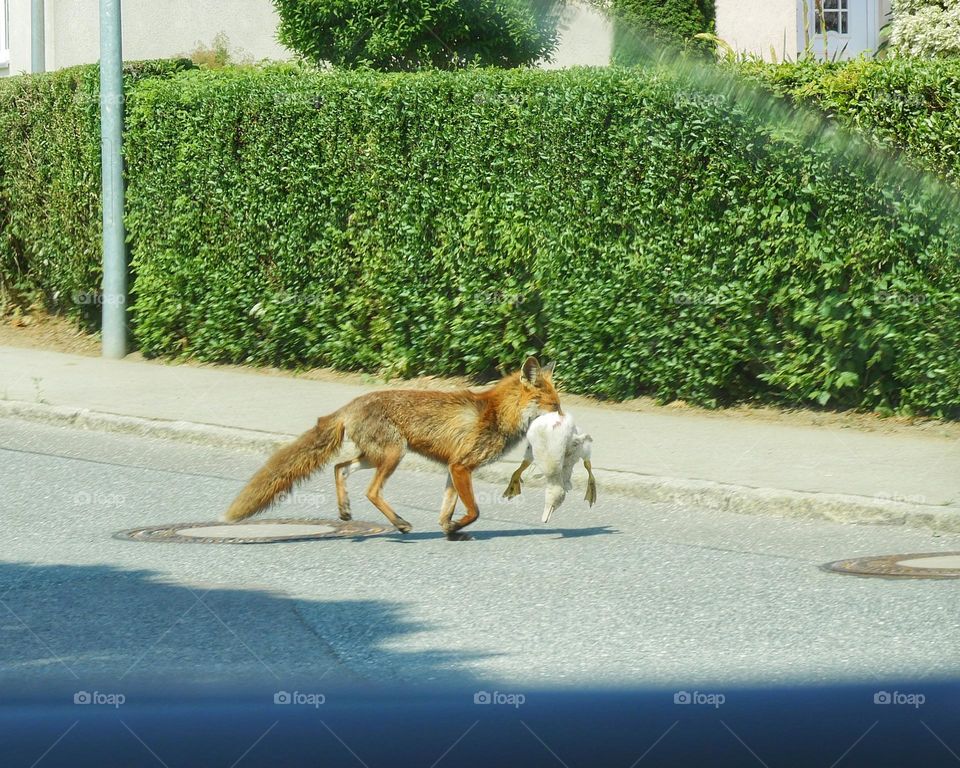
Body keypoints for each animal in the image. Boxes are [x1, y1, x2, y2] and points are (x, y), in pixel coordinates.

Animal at [224, 358, 564, 536]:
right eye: (553, 405)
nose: (563, 417)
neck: (499, 414)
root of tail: (351, 404)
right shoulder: (461, 466)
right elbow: (474, 510)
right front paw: (456, 526)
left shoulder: (453, 468)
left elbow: (448, 507)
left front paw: (449, 529)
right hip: (392, 455)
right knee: (371, 491)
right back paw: (399, 523)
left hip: (373, 456)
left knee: (339, 467)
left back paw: (345, 510)